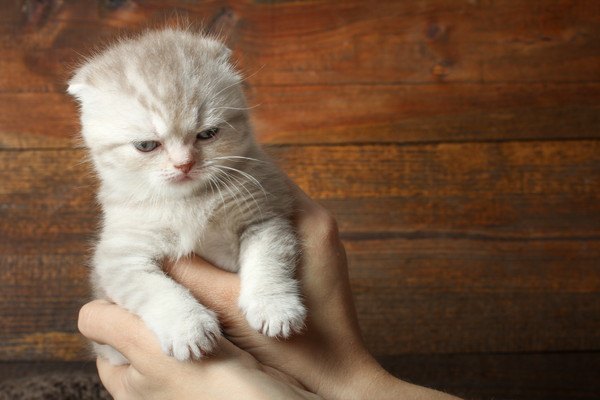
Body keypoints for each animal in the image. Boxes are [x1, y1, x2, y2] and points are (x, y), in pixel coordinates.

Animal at [68, 29, 308, 364]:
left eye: (207, 134)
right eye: (146, 145)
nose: (184, 164)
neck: (189, 201)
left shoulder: (266, 215)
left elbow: (269, 260)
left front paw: (274, 305)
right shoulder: (119, 258)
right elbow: (156, 290)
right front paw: (188, 327)